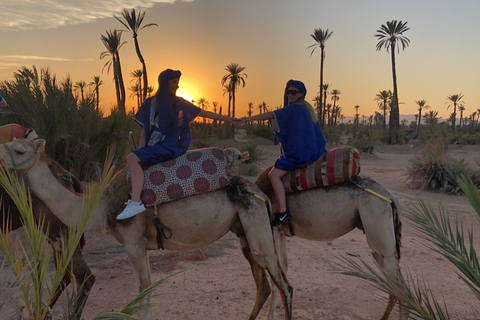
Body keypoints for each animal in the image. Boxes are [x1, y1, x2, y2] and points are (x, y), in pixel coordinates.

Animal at [255, 166, 408, 318]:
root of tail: (391, 198)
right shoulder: (281, 232)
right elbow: (284, 265)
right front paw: (279, 305)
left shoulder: (272, 228)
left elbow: (275, 271)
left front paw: (269, 316)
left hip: (379, 229)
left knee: (400, 287)